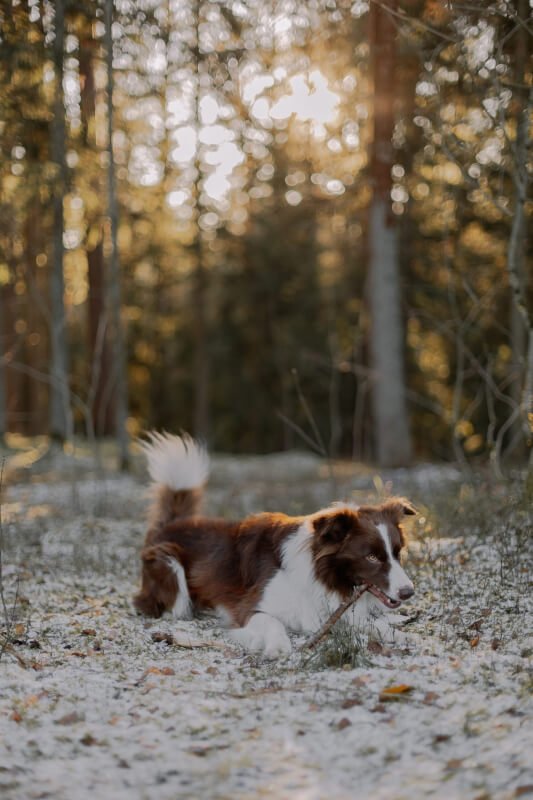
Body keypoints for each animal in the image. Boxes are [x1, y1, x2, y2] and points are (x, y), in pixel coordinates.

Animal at [133, 434, 416, 652]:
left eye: (397, 553)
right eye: (371, 557)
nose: (409, 593)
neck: (319, 573)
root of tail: (172, 524)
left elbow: (376, 624)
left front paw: (398, 633)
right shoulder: (251, 608)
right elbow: (272, 622)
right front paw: (276, 646)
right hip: (169, 566)